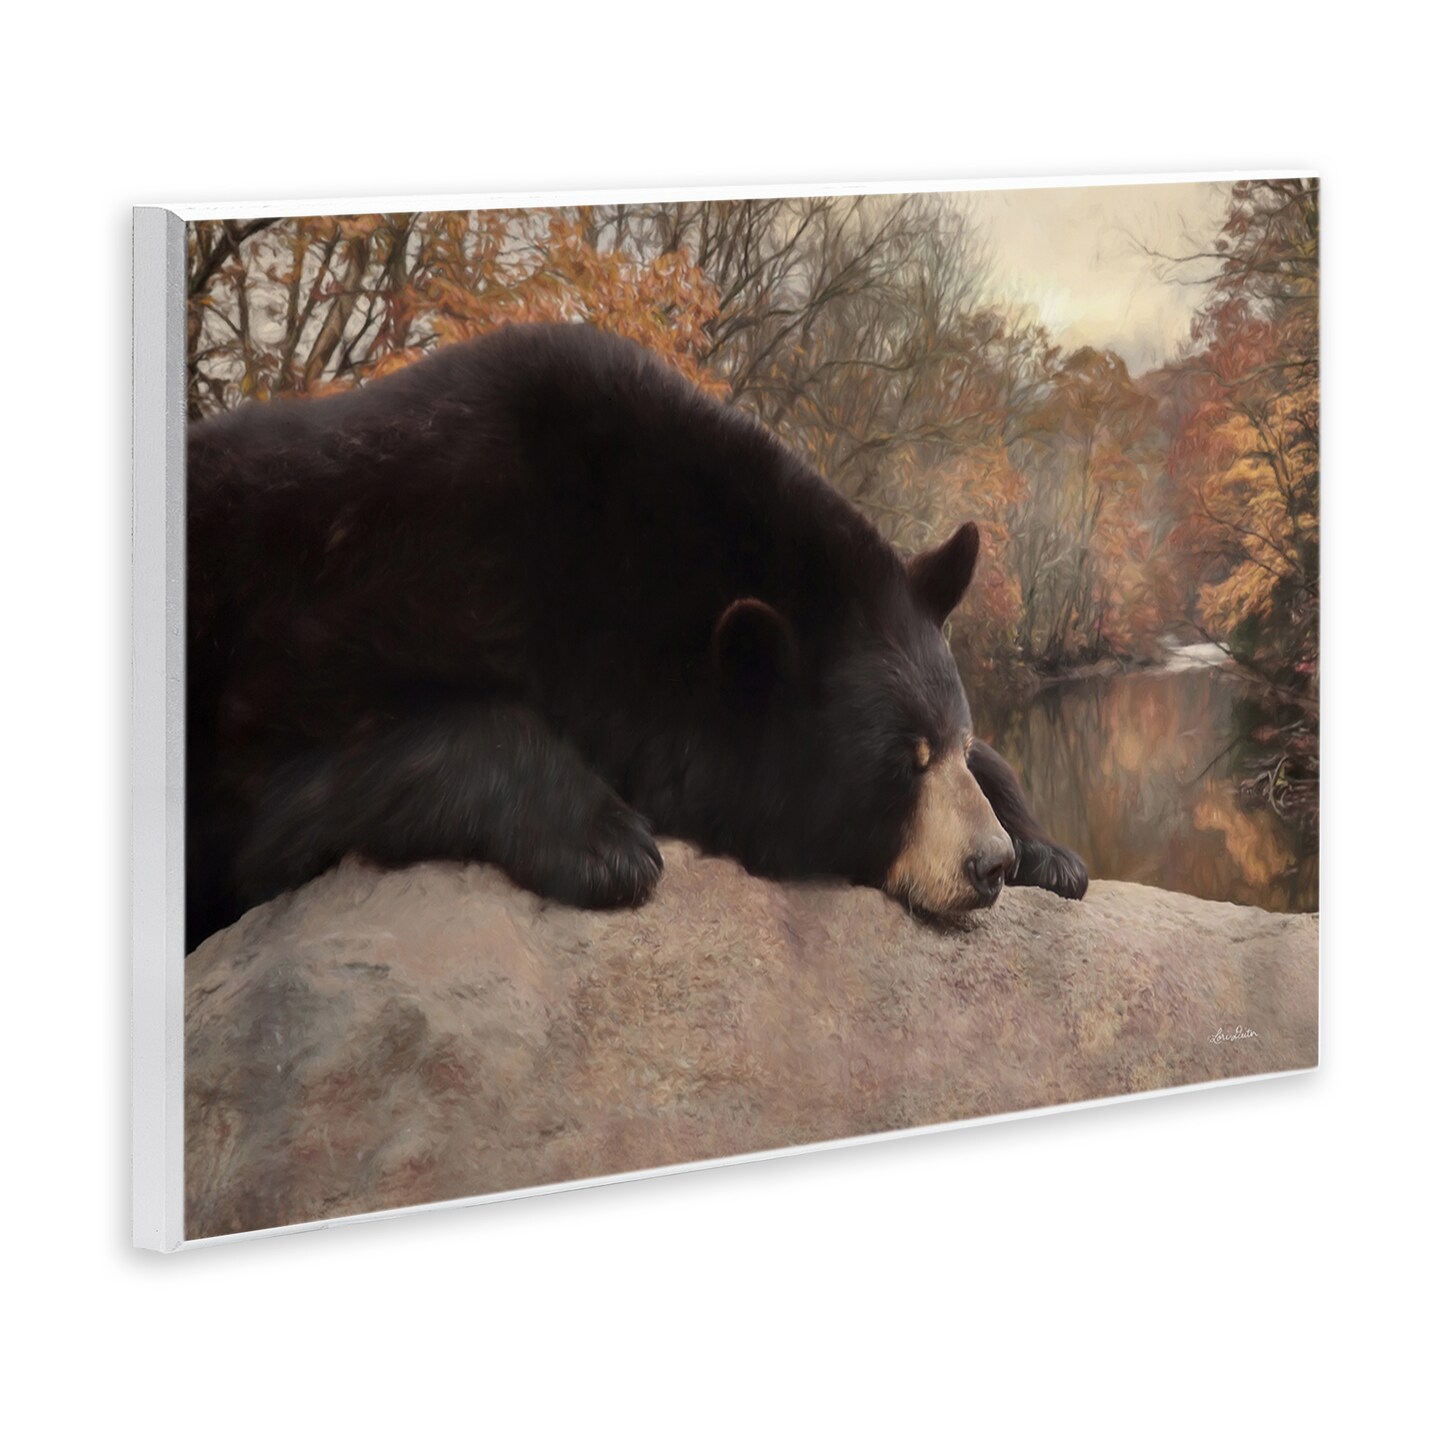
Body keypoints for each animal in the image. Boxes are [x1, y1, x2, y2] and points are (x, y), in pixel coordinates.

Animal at [185, 321, 1087, 951]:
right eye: (901, 765)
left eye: (954, 744)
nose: (990, 864)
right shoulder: (350, 605)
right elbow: (308, 782)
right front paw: (610, 843)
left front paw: (1053, 850)